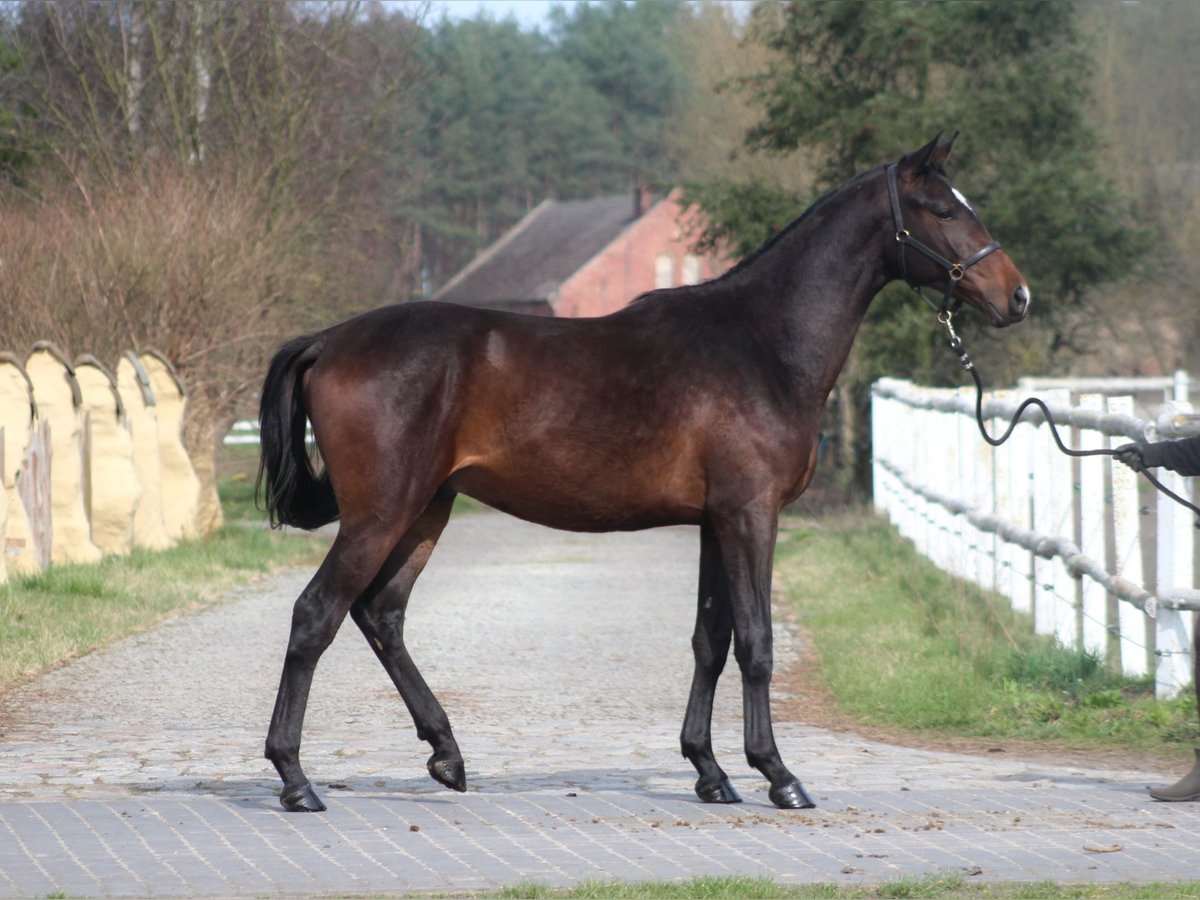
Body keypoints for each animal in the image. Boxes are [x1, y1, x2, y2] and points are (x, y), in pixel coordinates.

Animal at [258, 135, 1027, 816]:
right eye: (945, 210)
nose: (1016, 297)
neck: (761, 344)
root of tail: (330, 340)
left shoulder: (717, 522)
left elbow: (711, 641)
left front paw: (710, 771)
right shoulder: (752, 515)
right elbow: (756, 643)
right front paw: (778, 775)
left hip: (426, 510)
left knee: (380, 614)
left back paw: (446, 755)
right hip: (381, 513)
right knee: (317, 615)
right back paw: (295, 780)